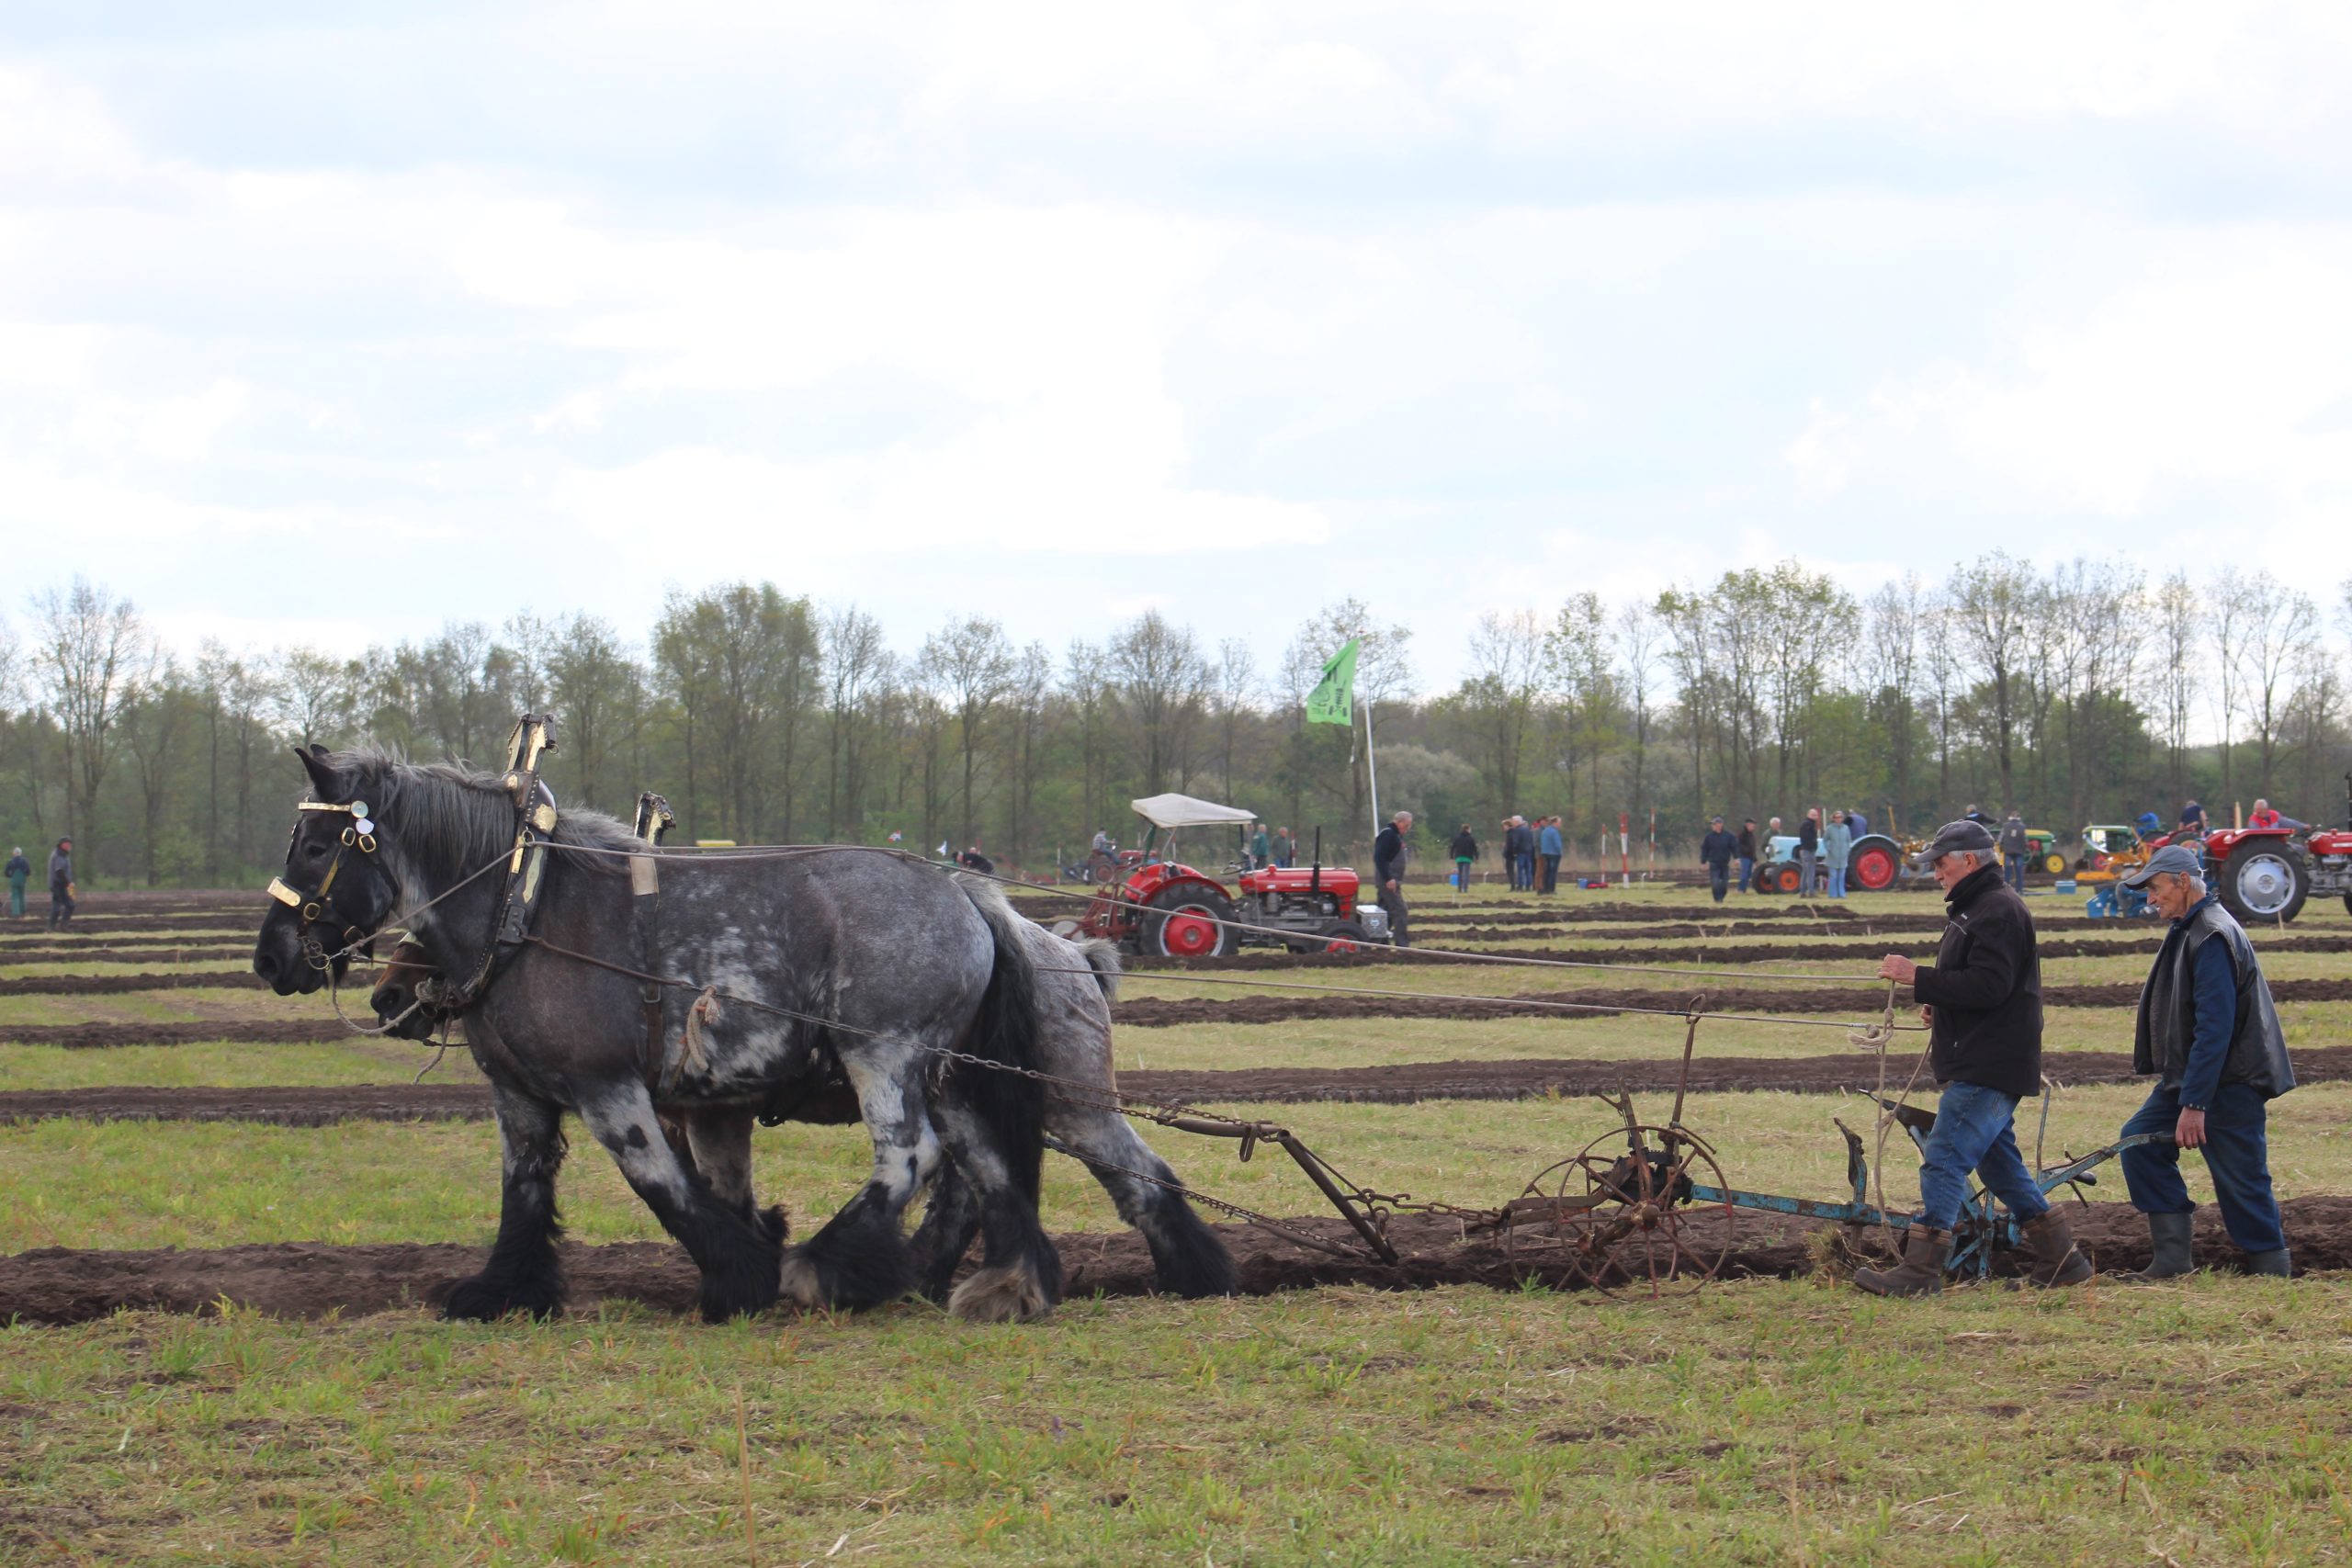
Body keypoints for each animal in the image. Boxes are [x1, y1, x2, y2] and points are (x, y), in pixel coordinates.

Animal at [254, 744, 1062, 1324]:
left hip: (883, 1055)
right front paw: (503, 1290)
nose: (269, 957)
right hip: (943, 1070)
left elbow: (659, 1182)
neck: (526, 908)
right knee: (986, 1166)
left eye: (318, 845)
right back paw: (1007, 1283)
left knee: (909, 1156)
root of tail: (965, 889)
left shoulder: (607, 1085)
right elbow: (524, 1188)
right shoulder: (518, 1092)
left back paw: (824, 1267)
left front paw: (741, 1276)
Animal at [368, 909, 1239, 1300]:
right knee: (988, 1187)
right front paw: (758, 1242)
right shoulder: (709, 1109)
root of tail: (1068, 951)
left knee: (1134, 1175)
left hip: (1069, 1105)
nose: (385, 995)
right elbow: (722, 1187)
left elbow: (701, 1187)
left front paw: (754, 1260)